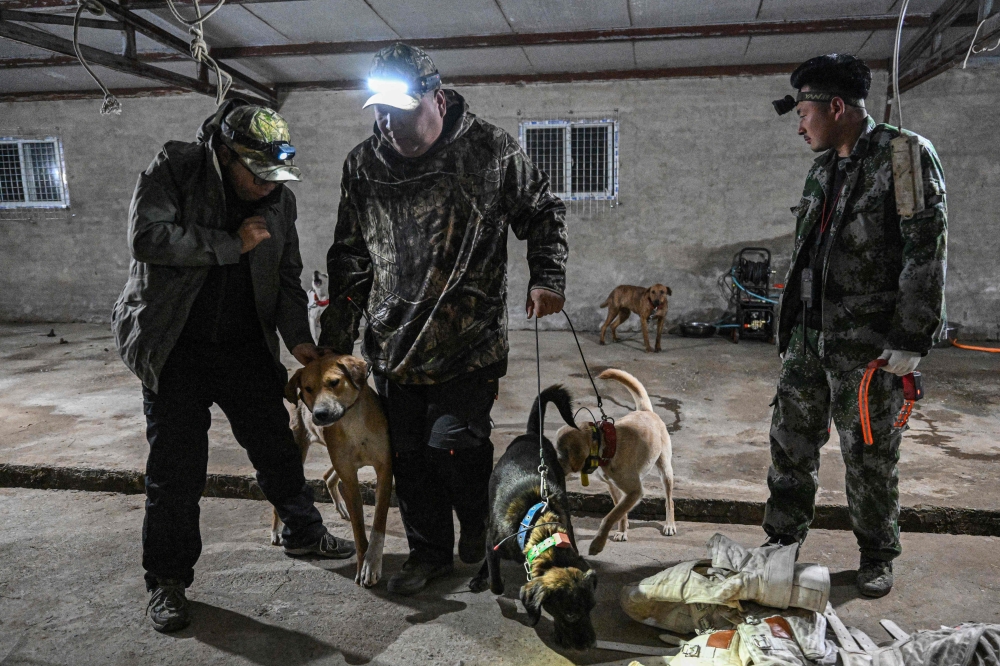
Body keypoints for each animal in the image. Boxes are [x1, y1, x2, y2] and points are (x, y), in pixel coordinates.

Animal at [282, 356, 394, 584]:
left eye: (334, 382)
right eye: (307, 388)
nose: (320, 414)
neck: (352, 422)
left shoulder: (384, 470)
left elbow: (378, 522)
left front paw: (372, 562)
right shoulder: (350, 478)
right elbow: (359, 531)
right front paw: (363, 564)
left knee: (328, 477)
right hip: (298, 448)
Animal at [470, 384, 596, 648]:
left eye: (592, 608)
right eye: (570, 614)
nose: (591, 644)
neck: (540, 526)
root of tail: (530, 435)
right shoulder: (493, 543)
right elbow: (496, 584)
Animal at [552, 366, 676, 552]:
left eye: (562, 454)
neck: (604, 447)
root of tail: (645, 411)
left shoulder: (635, 491)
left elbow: (609, 517)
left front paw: (597, 543)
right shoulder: (614, 487)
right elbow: (618, 512)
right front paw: (622, 530)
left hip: (665, 470)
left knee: (669, 500)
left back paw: (669, 524)